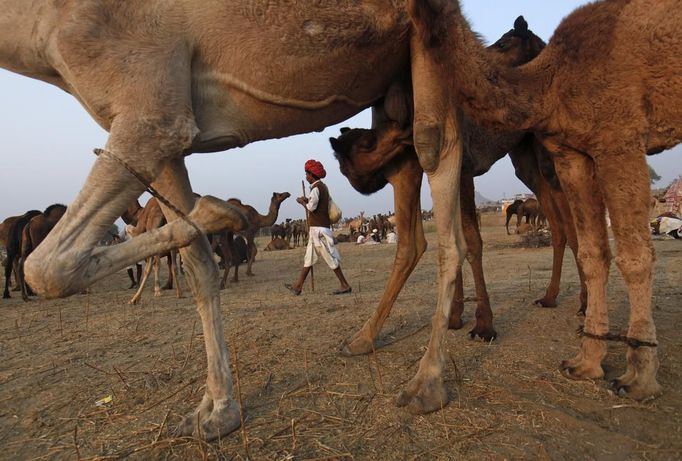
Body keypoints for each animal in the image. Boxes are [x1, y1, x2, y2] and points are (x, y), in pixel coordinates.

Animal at [404, 0, 680, 398]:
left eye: (506, 41)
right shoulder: (571, 154)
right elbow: (594, 252)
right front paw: (586, 363)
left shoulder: (618, 138)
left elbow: (634, 257)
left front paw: (639, 377)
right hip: (537, 170)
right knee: (566, 232)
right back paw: (555, 299)